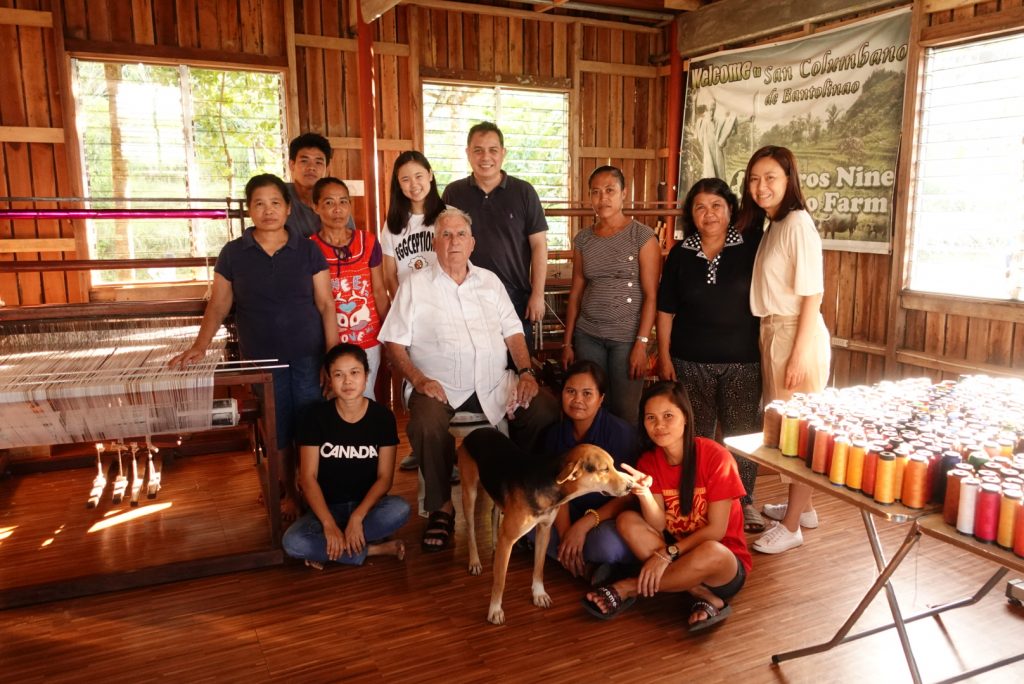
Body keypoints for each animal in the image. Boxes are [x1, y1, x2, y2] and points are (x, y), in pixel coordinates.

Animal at [454, 428, 630, 626]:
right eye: (604, 469)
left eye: (613, 465)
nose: (630, 486)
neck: (550, 484)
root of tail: (476, 431)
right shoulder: (508, 538)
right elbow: (500, 581)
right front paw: (495, 610)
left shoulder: (544, 530)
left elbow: (539, 566)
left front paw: (539, 594)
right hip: (469, 491)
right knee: (470, 529)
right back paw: (475, 561)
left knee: (493, 513)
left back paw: (494, 544)